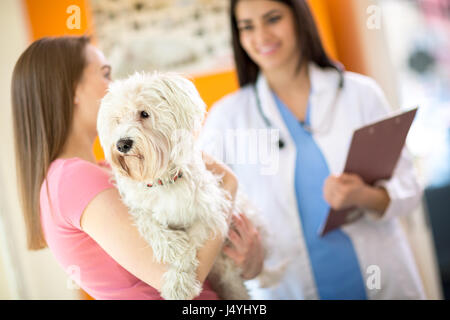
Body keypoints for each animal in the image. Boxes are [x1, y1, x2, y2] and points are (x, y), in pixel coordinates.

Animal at [97, 71, 284, 298]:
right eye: (117, 120)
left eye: (144, 114)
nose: (122, 144)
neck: (163, 182)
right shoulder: (139, 208)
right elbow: (150, 225)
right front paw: (174, 247)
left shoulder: (210, 212)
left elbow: (193, 242)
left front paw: (179, 281)